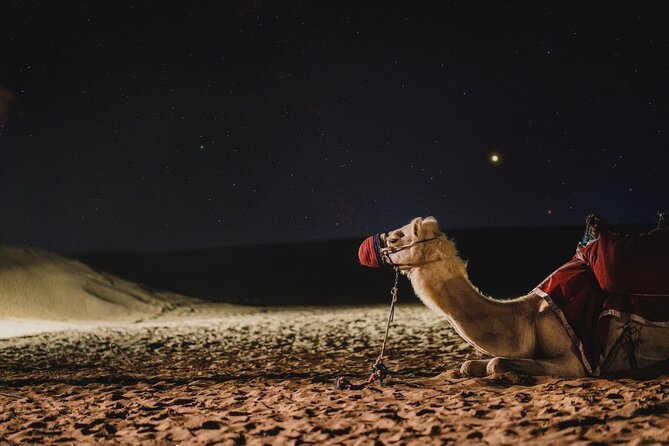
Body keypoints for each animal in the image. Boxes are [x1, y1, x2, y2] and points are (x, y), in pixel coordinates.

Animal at [374, 216, 669, 378]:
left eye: (397, 238)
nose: (379, 241)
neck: (525, 317)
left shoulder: (577, 360)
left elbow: (495, 363)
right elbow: (469, 365)